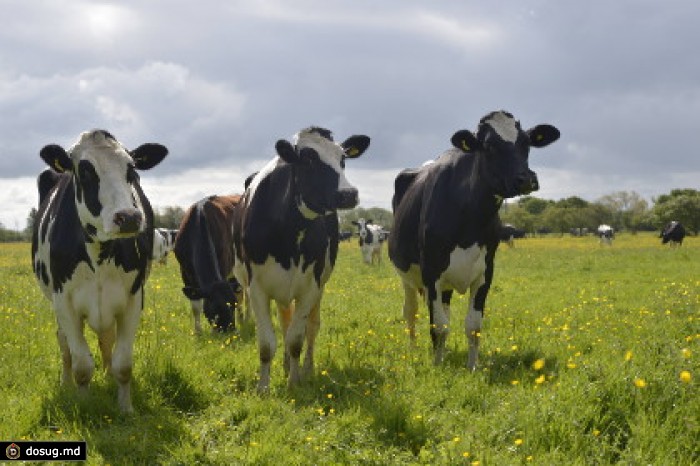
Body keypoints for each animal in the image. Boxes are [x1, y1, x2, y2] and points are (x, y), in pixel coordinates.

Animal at [31, 129, 167, 414]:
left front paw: (125, 407)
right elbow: (81, 364)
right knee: (64, 344)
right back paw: (66, 384)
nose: (128, 217)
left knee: (106, 338)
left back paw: (106, 375)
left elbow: (123, 362)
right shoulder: (64, 302)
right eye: (84, 171)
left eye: (132, 170)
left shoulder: (133, 298)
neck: (99, 253)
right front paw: (83, 404)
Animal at [174, 195, 245, 334]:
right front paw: (198, 333)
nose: (230, 331)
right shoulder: (185, 272)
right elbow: (196, 307)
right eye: (215, 307)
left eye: (232, 304)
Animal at [232, 125, 370, 392]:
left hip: (317, 286)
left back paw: (306, 369)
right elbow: (266, 343)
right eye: (308, 159)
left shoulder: (310, 287)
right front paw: (263, 388)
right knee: (285, 322)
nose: (348, 194)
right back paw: (286, 366)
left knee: (310, 328)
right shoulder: (256, 288)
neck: (289, 233)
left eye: (343, 158)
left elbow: (297, 338)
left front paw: (295, 383)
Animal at [388, 111, 556, 370]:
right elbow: (438, 326)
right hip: (407, 276)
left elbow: (472, 326)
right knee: (410, 312)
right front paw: (437, 367)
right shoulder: (431, 271)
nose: (527, 179)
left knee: (444, 310)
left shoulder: (485, 272)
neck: (470, 217)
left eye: (527, 143)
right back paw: (413, 350)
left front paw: (472, 367)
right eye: (489, 146)